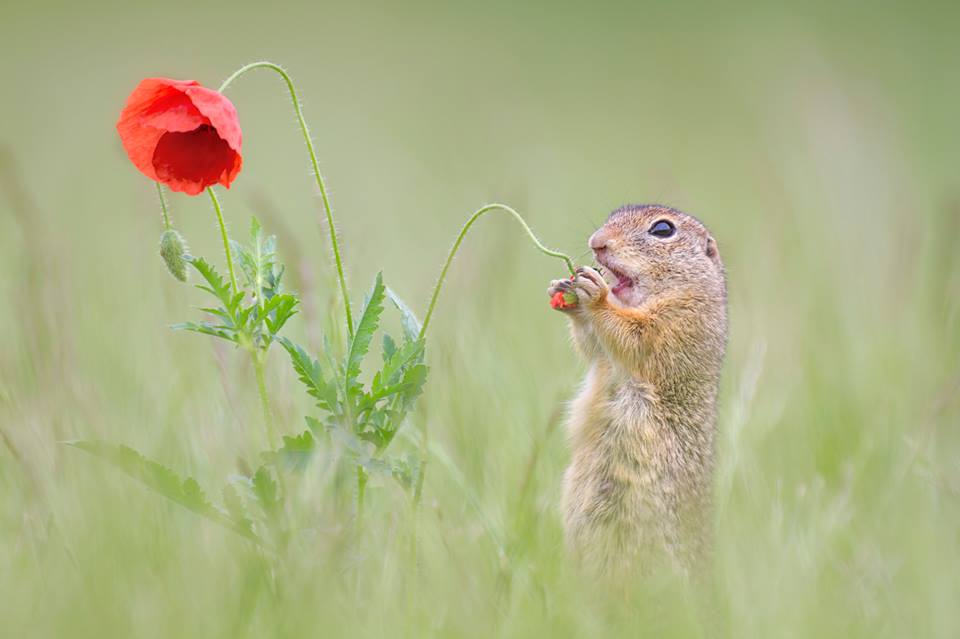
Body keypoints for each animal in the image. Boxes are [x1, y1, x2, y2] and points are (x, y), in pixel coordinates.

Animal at [548, 204, 728, 576]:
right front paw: (565, 292)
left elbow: (636, 338)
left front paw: (595, 294)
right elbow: (593, 345)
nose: (597, 242)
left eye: (662, 229)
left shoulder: (679, 322)